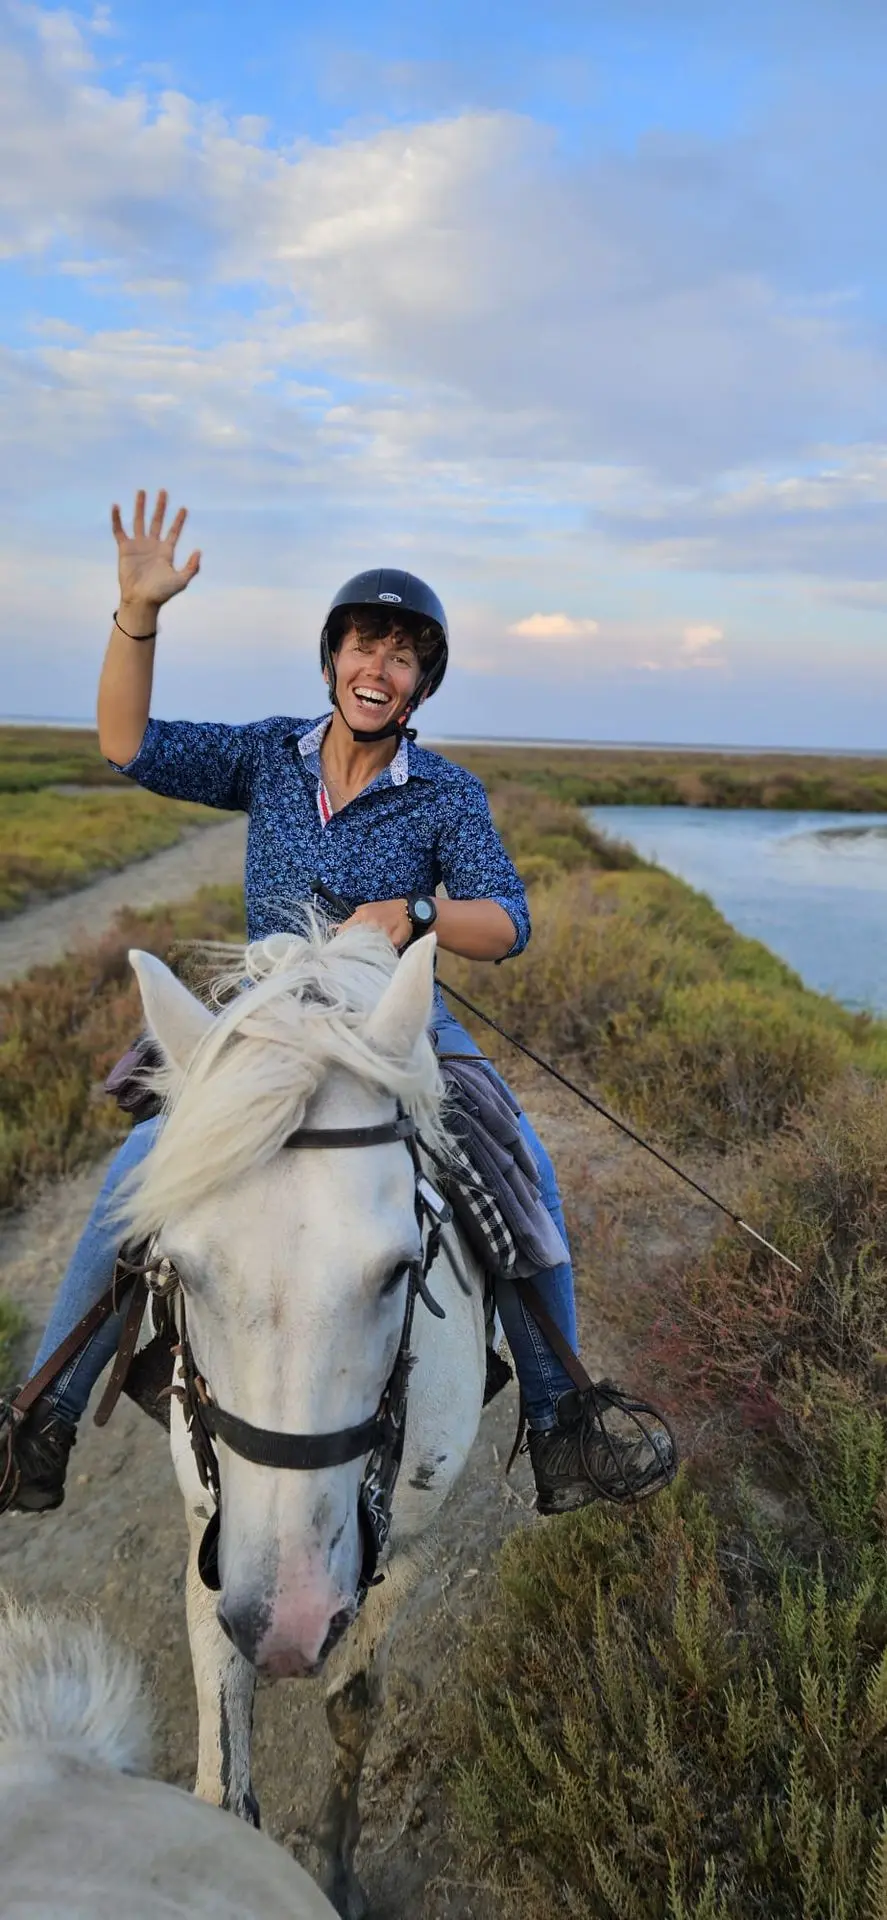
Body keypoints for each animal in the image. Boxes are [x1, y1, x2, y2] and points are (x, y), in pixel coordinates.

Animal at [119, 917, 485, 1920]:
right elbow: (222, 1784)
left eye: (401, 1270)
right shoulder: (210, 1541)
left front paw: (337, 1871)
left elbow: (351, 1709)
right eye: (176, 1269)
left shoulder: (405, 1549)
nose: (287, 1622)